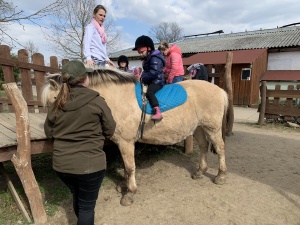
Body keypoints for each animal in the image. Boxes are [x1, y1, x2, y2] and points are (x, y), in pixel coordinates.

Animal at [42, 68, 229, 206]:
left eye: (54, 101)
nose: (49, 131)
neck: (117, 98)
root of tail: (220, 90)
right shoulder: (122, 143)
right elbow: (126, 167)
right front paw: (124, 186)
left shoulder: (126, 142)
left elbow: (130, 167)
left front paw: (129, 194)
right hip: (198, 127)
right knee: (204, 147)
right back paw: (199, 172)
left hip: (212, 127)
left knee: (220, 148)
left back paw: (220, 176)